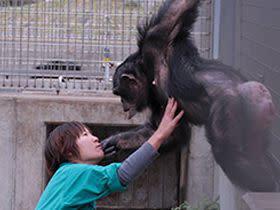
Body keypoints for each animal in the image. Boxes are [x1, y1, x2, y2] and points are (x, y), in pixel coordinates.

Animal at [101, 0, 278, 192]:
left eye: (118, 92)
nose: (122, 104)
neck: (149, 73)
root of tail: (258, 92)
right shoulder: (160, 105)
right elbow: (161, 132)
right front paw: (113, 141)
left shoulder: (155, 39)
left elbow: (176, 10)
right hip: (257, 121)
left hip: (230, 105)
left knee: (227, 149)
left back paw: (267, 183)